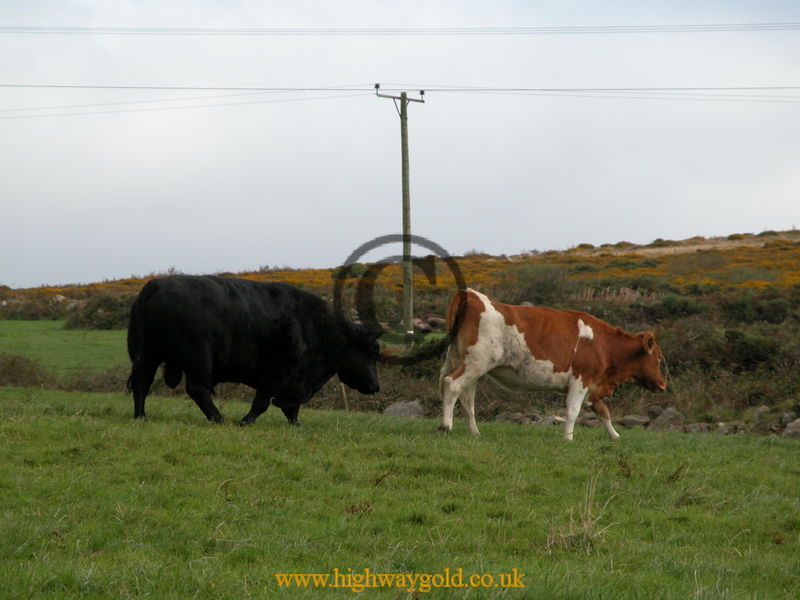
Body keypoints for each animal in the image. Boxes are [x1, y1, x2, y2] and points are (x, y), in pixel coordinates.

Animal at [127, 275, 381, 425]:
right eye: (369, 353)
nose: (375, 386)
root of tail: (156, 284)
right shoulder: (277, 371)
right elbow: (262, 401)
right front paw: (245, 421)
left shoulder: (294, 381)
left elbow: (292, 407)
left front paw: (296, 424)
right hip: (199, 358)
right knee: (198, 389)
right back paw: (218, 418)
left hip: (148, 355)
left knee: (141, 384)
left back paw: (140, 416)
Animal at [438, 288, 666, 440]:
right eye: (659, 357)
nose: (663, 384)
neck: (603, 343)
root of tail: (470, 294)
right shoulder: (581, 379)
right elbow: (573, 410)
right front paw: (568, 438)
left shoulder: (593, 385)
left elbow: (603, 411)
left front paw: (615, 436)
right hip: (477, 362)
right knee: (452, 385)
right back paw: (446, 426)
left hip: (467, 364)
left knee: (467, 399)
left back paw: (475, 432)